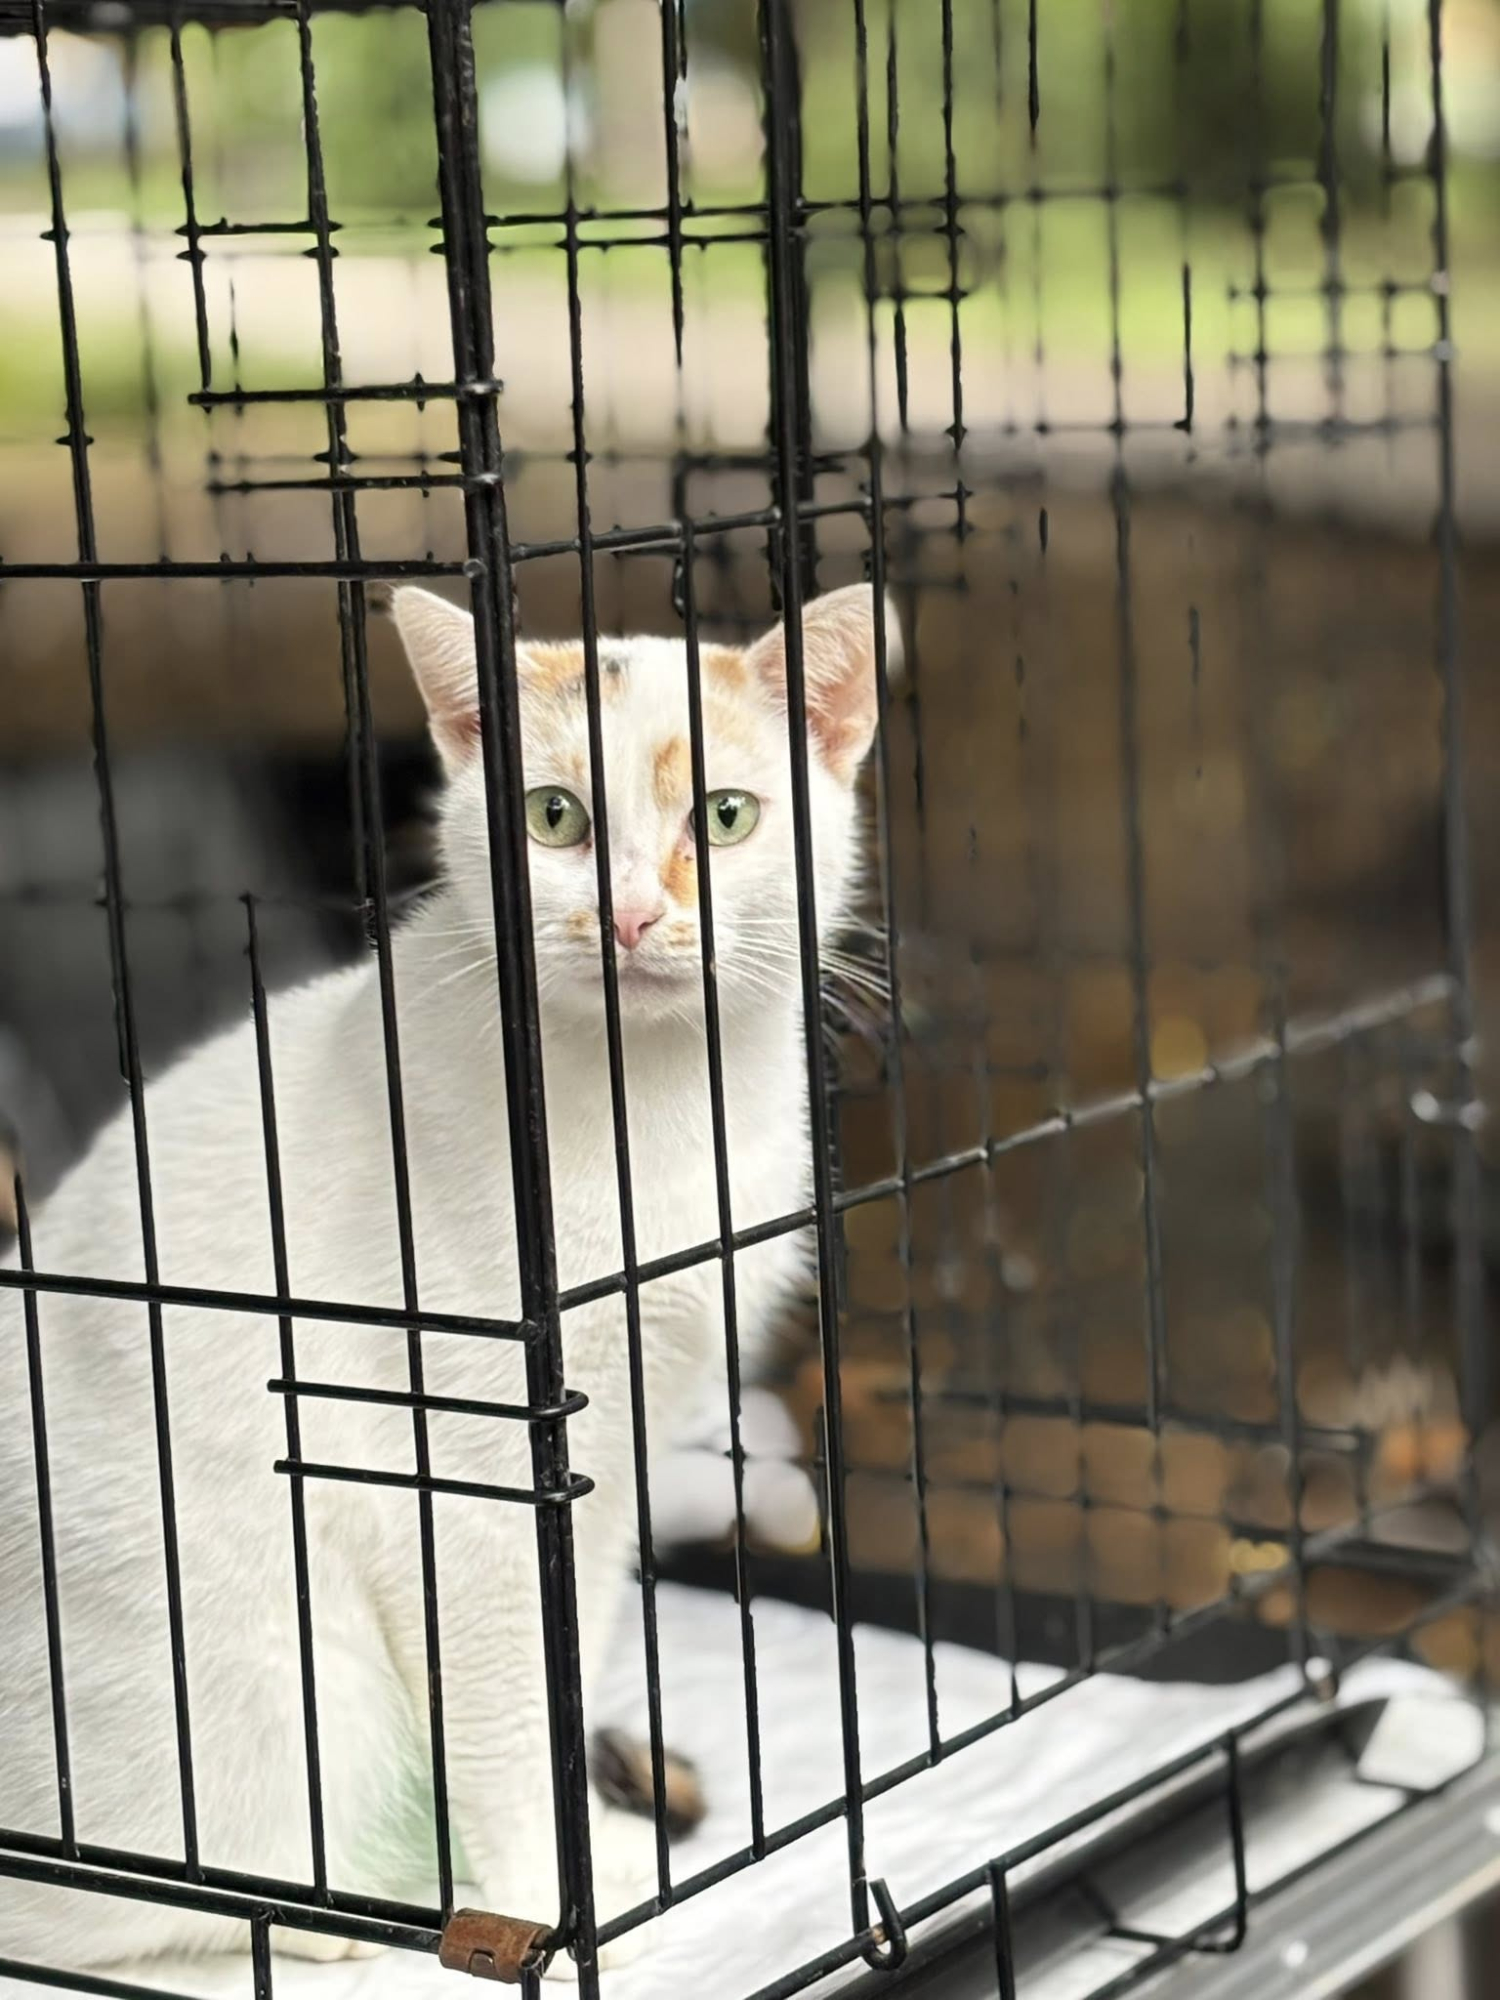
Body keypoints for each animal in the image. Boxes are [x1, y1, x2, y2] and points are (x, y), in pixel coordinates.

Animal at [0, 582, 895, 1977]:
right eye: (554, 816)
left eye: (728, 816)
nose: (628, 915)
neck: (652, 1107)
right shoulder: (465, 1482)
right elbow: (507, 1704)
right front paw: (539, 1901)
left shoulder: (618, 1453)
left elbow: (573, 1655)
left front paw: (598, 1850)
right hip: (267, 1679)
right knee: (111, 1905)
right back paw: (347, 1908)